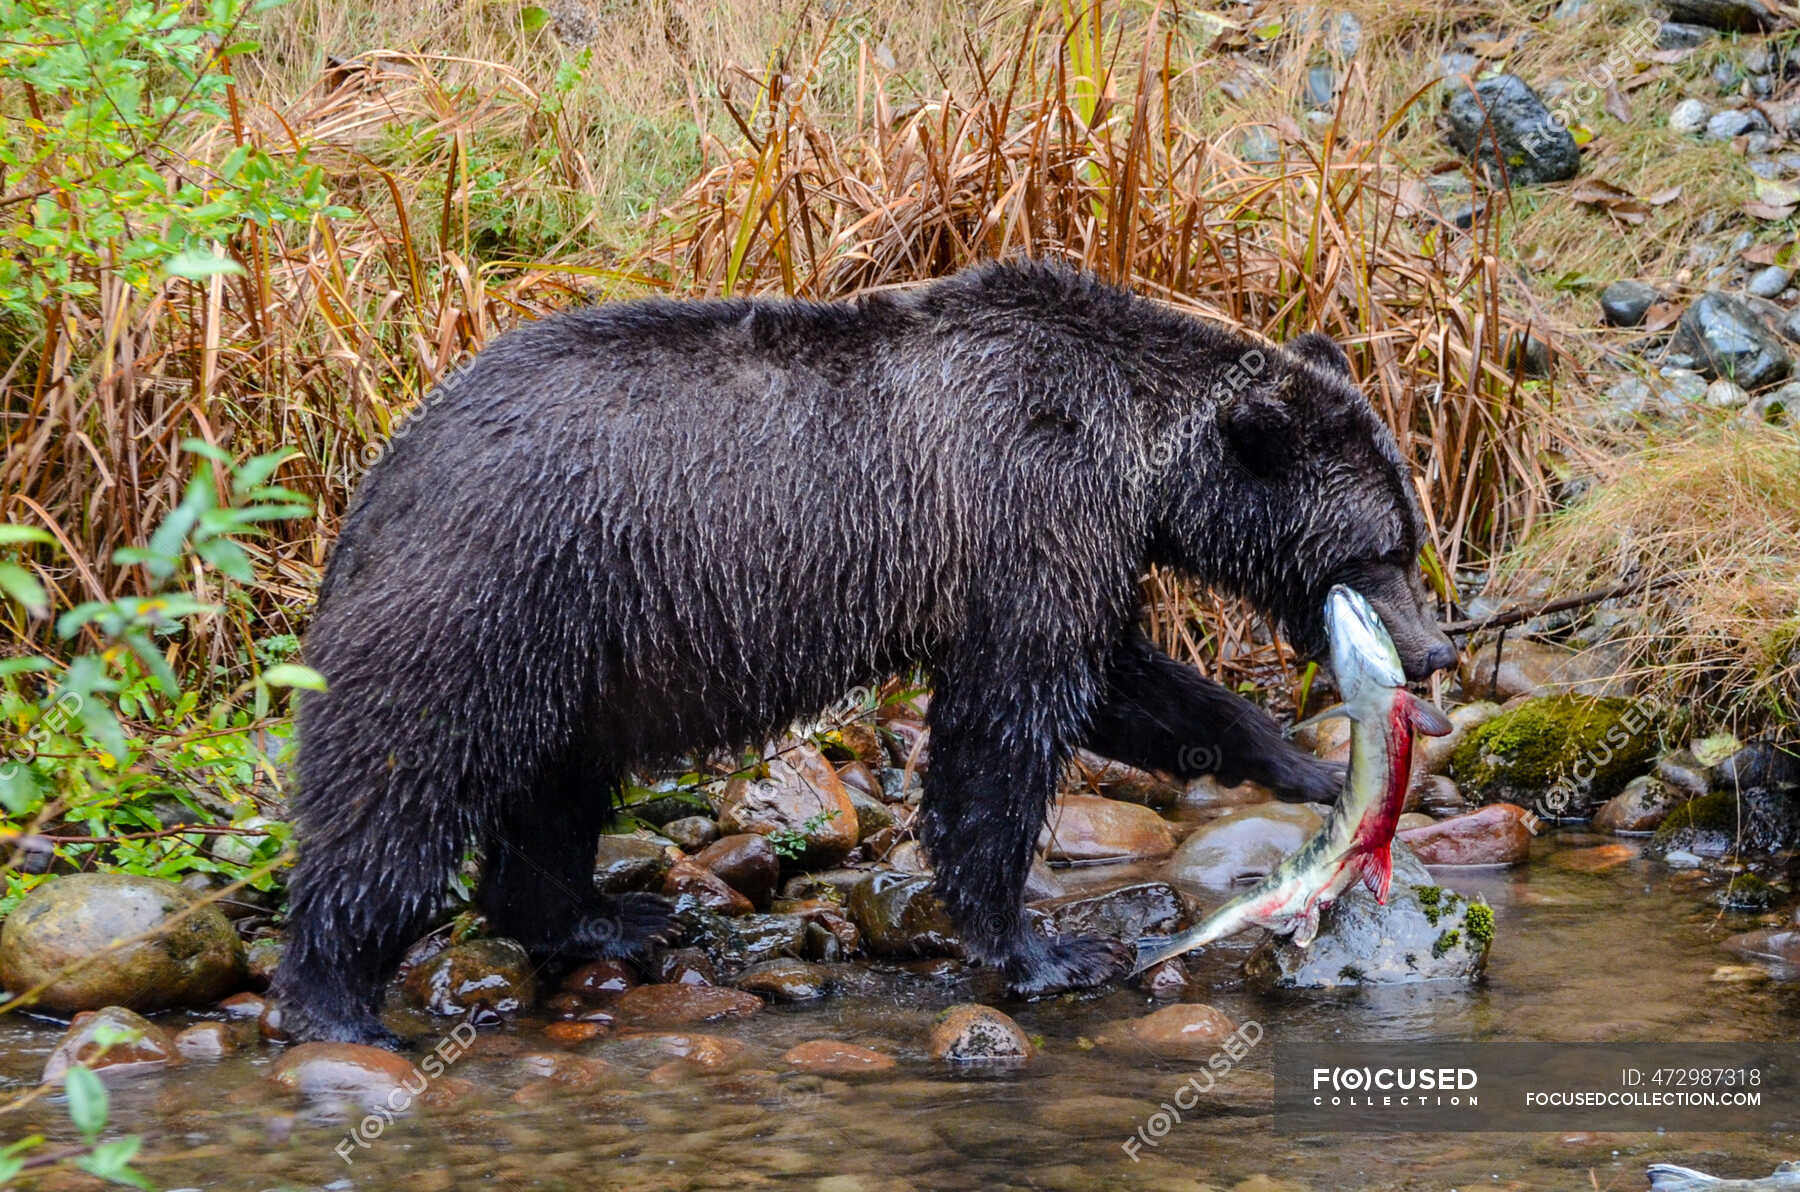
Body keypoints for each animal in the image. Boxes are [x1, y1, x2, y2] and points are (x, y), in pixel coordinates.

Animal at [277, 261, 1461, 1044]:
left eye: (1409, 533)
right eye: (1378, 551)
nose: (1436, 654)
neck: (1136, 454)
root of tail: (380, 476)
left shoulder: (1067, 548)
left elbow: (1129, 685)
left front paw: (1308, 764)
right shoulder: (1024, 507)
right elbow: (1007, 729)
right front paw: (1042, 947)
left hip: (575, 651)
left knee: (553, 789)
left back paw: (606, 920)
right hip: (489, 594)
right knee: (401, 785)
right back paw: (338, 1005)